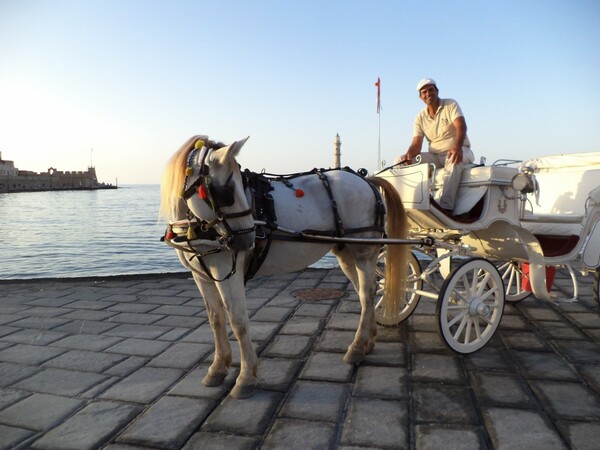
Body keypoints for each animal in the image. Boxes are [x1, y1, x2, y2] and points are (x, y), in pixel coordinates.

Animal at [161, 134, 408, 398]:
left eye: (236, 188)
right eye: (227, 192)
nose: (248, 241)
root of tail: (367, 180)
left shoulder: (228, 271)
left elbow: (237, 320)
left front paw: (246, 377)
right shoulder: (202, 275)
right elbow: (215, 319)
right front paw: (218, 369)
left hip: (364, 251)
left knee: (367, 293)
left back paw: (358, 347)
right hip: (346, 252)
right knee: (366, 293)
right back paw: (368, 340)